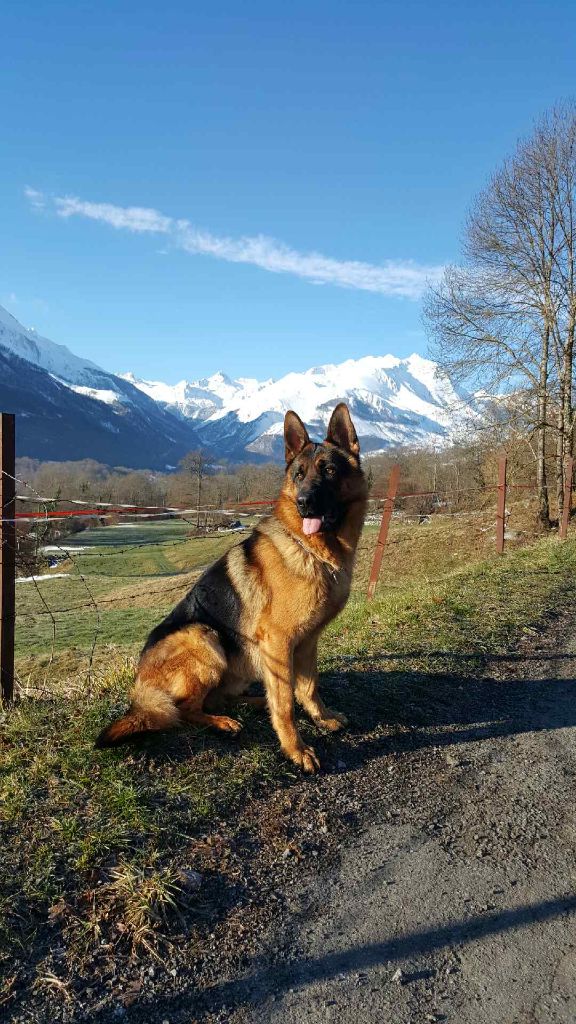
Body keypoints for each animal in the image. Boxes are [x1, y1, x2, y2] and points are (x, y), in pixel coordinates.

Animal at [94, 403, 364, 770]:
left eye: (331, 471)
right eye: (299, 475)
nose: (304, 502)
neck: (311, 550)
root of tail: (140, 690)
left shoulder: (308, 642)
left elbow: (308, 688)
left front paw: (321, 718)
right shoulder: (279, 642)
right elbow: (285, 704)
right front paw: (295, 749)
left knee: (223, 698)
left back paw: (253, 702)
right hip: (204, 637)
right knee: (186, 710)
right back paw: (223, 722)